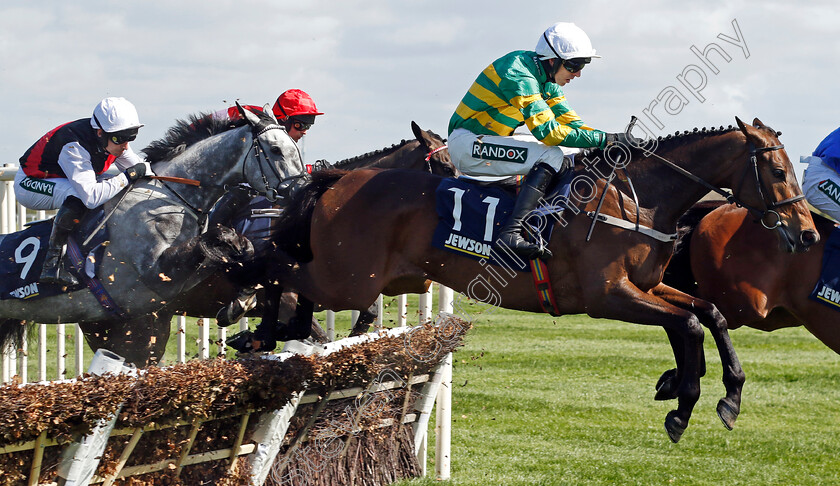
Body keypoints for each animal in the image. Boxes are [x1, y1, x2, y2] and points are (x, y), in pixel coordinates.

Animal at [0, 103, 308, 360]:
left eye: (295, 146)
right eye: (276, 150)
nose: (300, 189)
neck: (172, 195)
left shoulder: (187, 277)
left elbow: (239, 249)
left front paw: (241, 299)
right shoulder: (156, 274)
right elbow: (218, 238)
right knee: (74, 199)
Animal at [266, 118, 816, 444]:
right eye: (776, 170)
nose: (808, 233)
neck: (639, 199)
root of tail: (338, 179)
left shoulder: (647, 287)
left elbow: (706, 315)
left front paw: (722, 393)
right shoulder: (607, 297)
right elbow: (689, 325)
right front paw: (682, 403)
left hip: (384, 280)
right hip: (347, 279)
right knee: (279, 272)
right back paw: (273, 335)